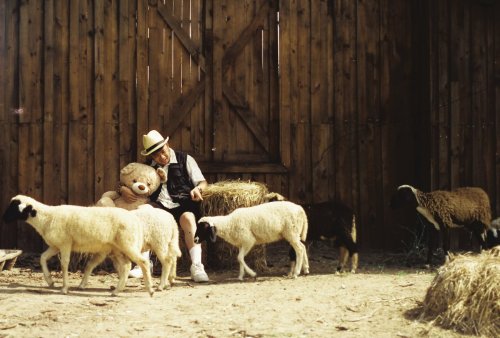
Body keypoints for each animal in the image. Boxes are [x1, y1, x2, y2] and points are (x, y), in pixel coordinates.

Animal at [1, 195, 153, 296]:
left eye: (13, 207)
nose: (3, 219)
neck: (46, 217)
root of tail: (136, 220)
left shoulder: (65, 244)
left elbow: (64, 264)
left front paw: (64, 288)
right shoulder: (56, 245)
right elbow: (42, 258)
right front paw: (50, 281)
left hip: (128, 244)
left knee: (143, 262)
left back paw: (150, 290)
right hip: (117, 249)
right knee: (127, 266)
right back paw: (116, 290)